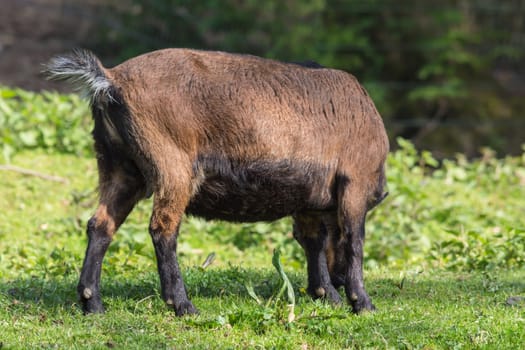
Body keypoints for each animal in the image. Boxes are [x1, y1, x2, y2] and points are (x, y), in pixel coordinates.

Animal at [45, 47, 386, 316]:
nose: (339, 283)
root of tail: (110, 80)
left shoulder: (308, 201)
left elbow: (313, 241)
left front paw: (328, 296)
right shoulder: (355, 180)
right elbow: (353, 240)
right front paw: (362, 303)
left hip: (120, 168)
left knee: (100, 225)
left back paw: (93, 304)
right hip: (173, 168)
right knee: (162, 228)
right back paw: (183, 305)